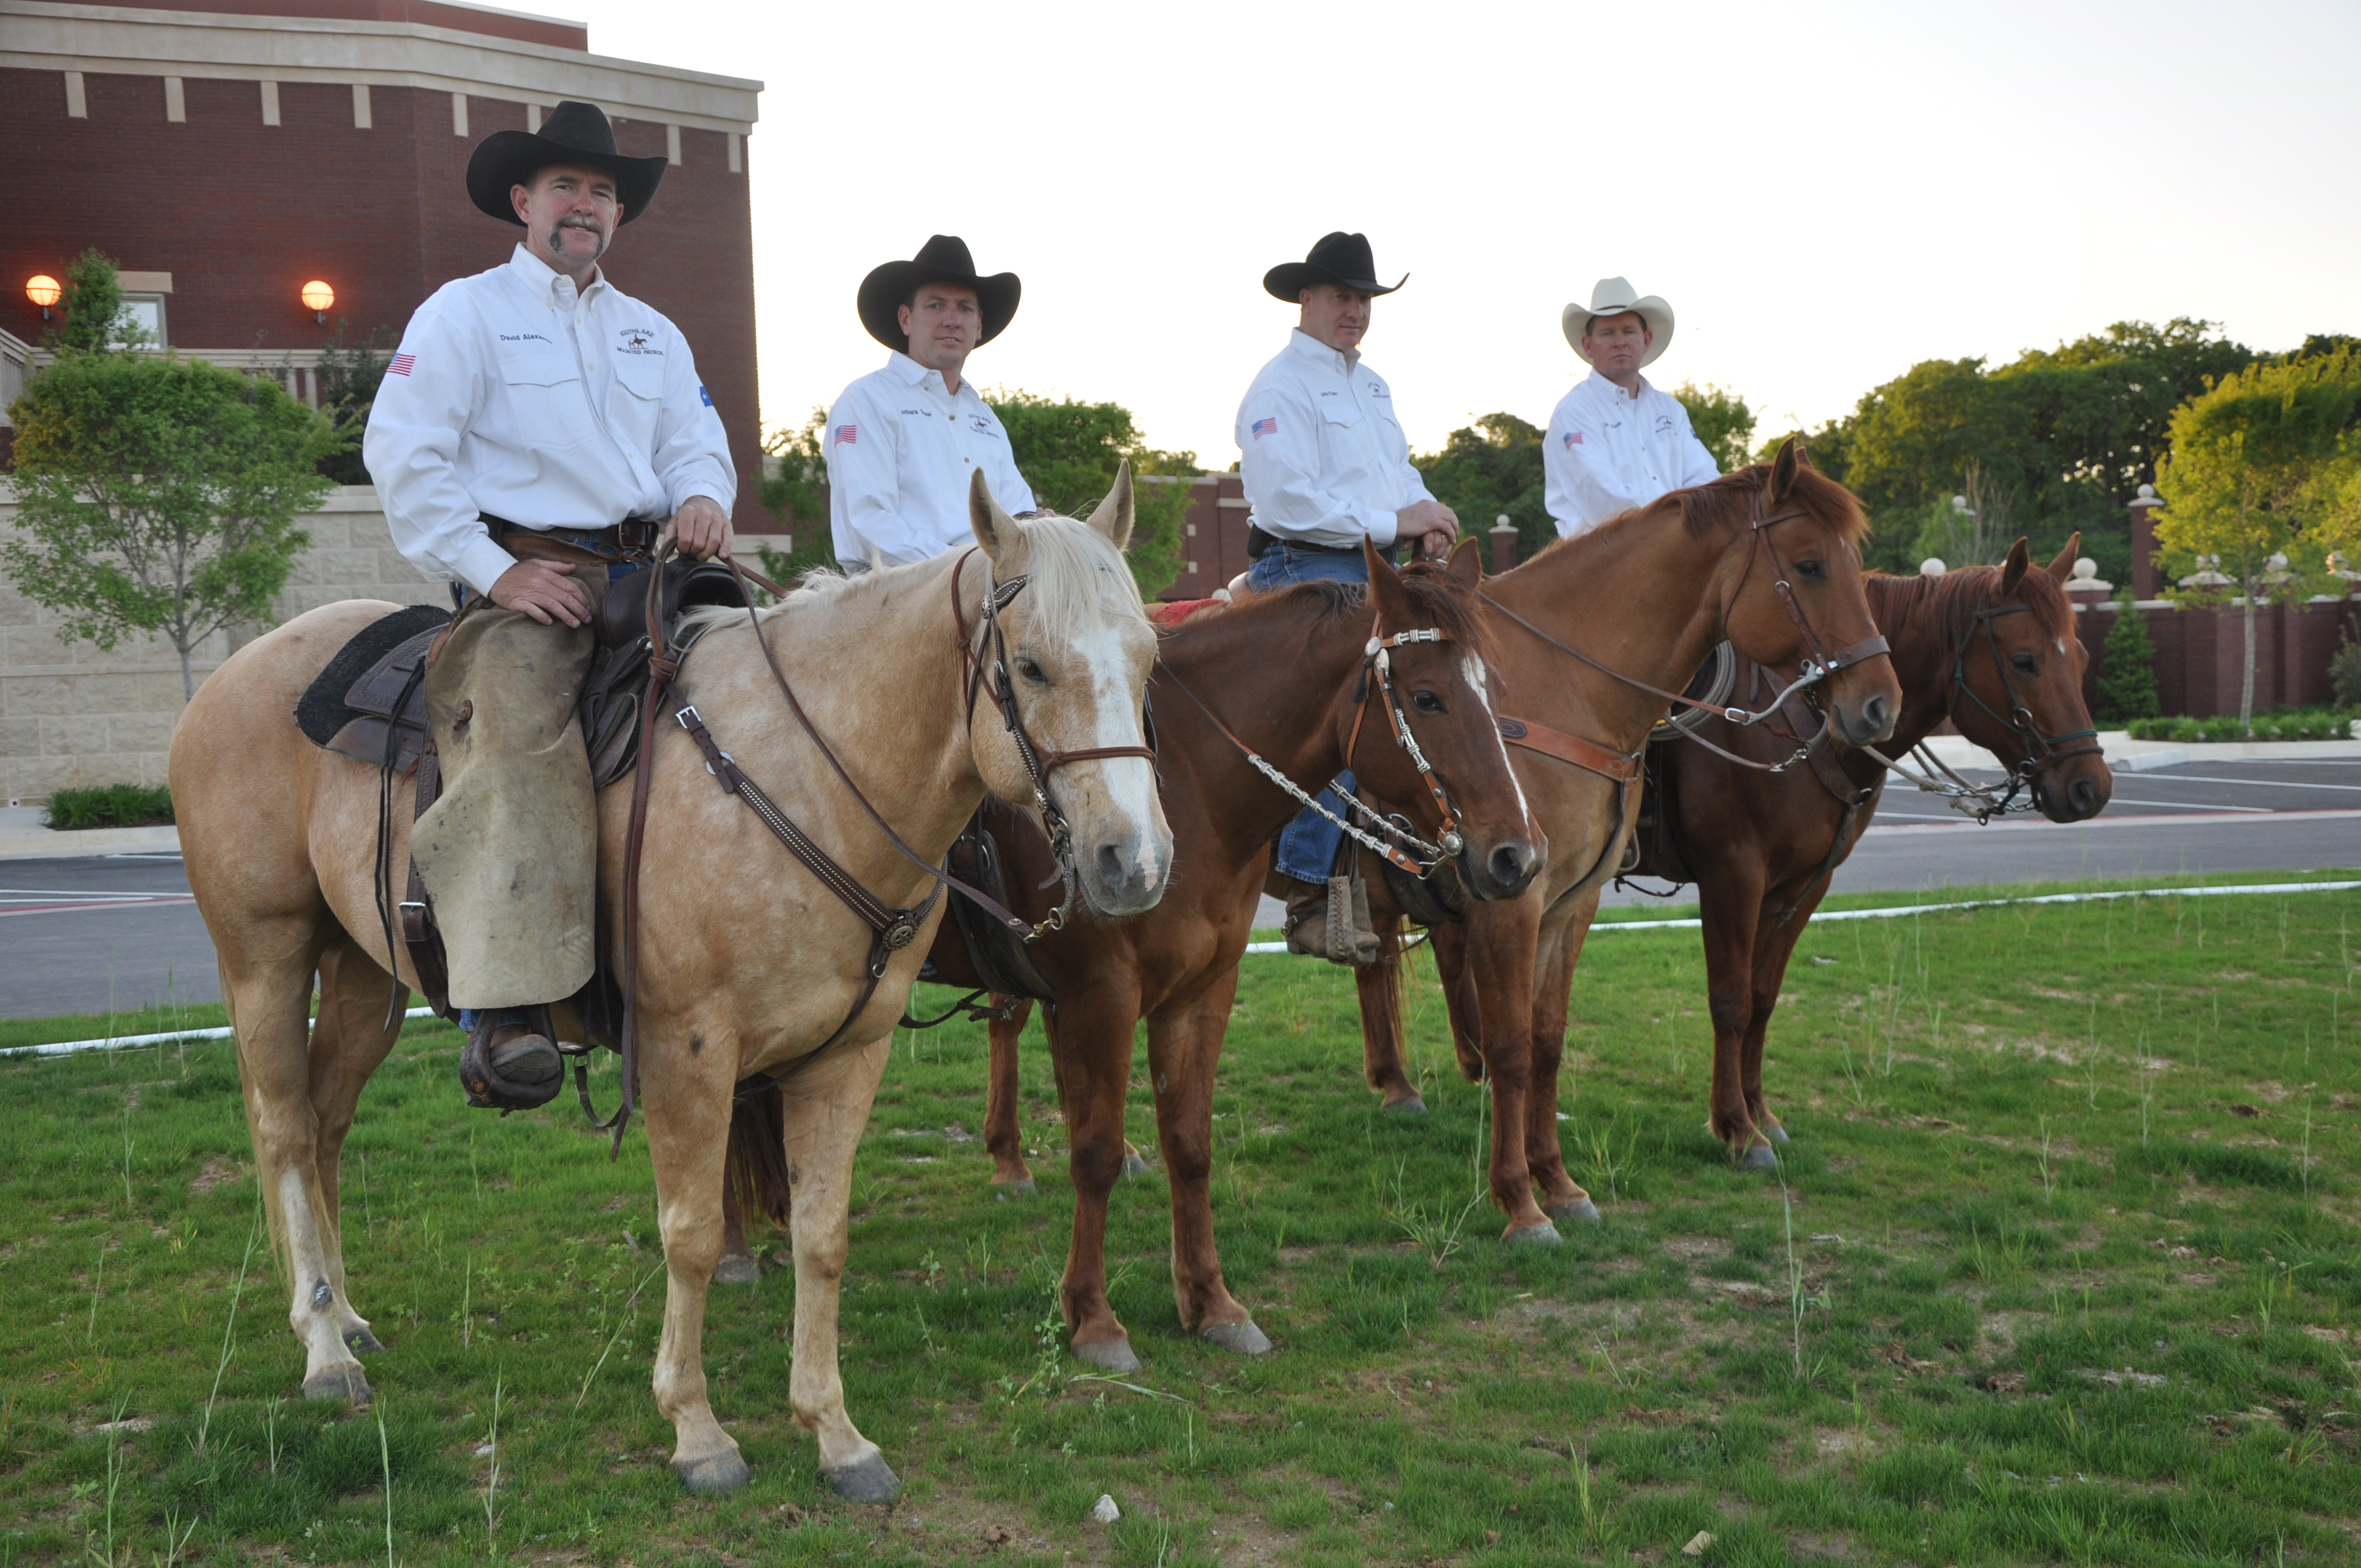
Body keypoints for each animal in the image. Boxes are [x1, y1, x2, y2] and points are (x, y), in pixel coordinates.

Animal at [168, 475, 1171, 1492]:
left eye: (1149, 660)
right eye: (1033, 667)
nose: (1133, 862)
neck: (801, 779)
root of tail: (233, 673)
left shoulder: (849, 1051)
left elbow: (821, 1235)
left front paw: (835, 1432)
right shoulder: (687, 1048)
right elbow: (689, 1235)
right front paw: (698, 1431)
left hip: (363, 973)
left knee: (326, 1125)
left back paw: (344, 1313)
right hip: (265, 957)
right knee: (286, 1129)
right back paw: (323, 1346)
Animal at [840, 543, 1539, 1369]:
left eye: (1495, 691)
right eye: (1428, 698)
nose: (1517, 856)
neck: (1189, 790)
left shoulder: (1203, 989)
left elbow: (1190, 1143)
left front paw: (1211, 1302)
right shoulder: (1102, 994)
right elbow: (1095, 1152)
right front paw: (1095, 1319)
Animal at [1350, 437, 1898, 1237]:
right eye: (1808, 565)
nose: (1881, 703)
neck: (1559, 697)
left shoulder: (1572, 902)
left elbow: (1546, 1042)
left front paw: (1558, 1183)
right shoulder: (1519, 900)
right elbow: (1520, 1045)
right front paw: (1519, 1200)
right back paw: (1394, 1087)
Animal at [1643, 538, 2125, 1162]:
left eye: (2082, 658)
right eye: (2024, 661)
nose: (2092, 787)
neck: (1806, 720)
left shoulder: (1800, 885)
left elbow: (1762, 997)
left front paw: (1760, 1113)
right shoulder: (1733, 876)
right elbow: (1730, 1001)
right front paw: (1736, 1129)